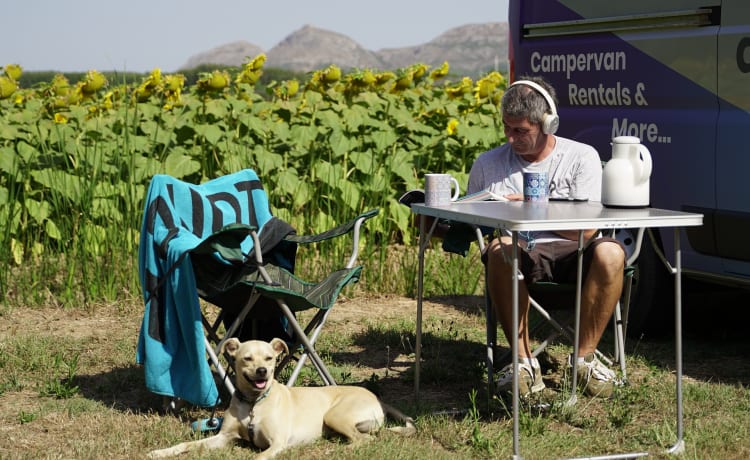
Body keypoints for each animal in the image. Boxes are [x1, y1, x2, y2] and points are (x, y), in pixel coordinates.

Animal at [147, 336, 418, 458]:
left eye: (270, 358)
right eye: (247, 358)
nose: (262, 371)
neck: (255, 403)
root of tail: (377, 399)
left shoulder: (277, 443)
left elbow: (258, 456)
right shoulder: (223, 437)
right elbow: (186, 445)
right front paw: (160, 452)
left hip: (335, 415)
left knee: (364, 440)